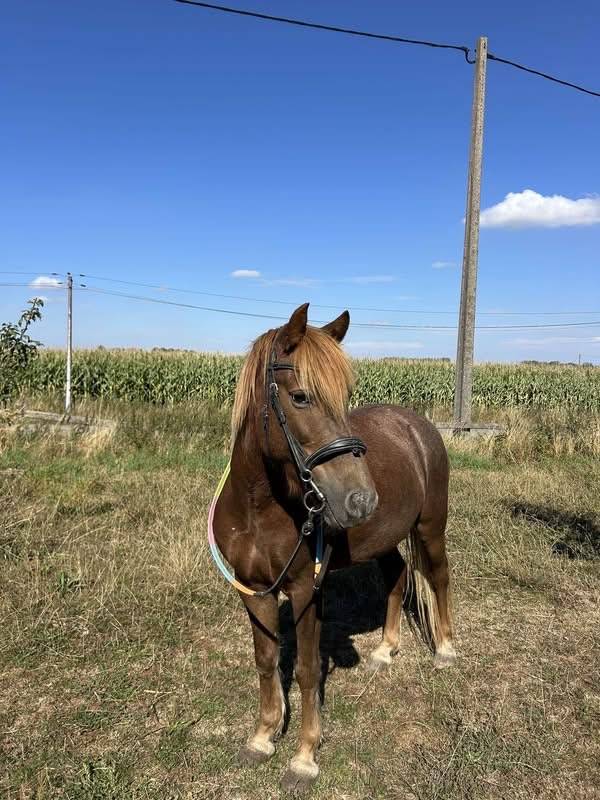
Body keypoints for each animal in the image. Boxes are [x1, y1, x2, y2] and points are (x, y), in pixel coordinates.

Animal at [212, 302, 455, 793]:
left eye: (346, 396)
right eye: (301, 397)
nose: (360, 500)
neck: (259, 505)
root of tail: (417, 425)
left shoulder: (306, 590)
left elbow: (307, 670)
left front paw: (304, 757)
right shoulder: (253, 589)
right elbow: (266, 660)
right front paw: (263, 736)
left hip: (430, 526)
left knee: (438, 576)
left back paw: (445, 649)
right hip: (384, 538)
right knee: (398, 575)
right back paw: (384, 650)